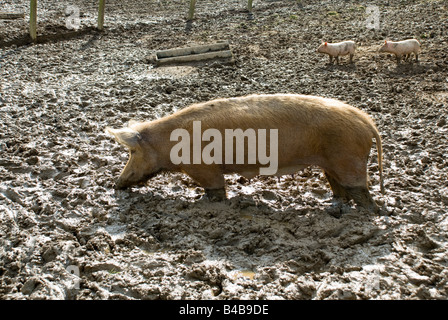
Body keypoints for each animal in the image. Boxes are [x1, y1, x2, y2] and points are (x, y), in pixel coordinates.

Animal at [106, 93, 384, 212]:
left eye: (131, 152)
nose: (115, 185)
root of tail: (368, 122)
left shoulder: (202, 168)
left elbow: (216, 189)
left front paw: (205, 203)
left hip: (348, 157)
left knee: (360, 188)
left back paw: (373, 213)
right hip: (330, 162)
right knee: (339, 187)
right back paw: (332, 204)